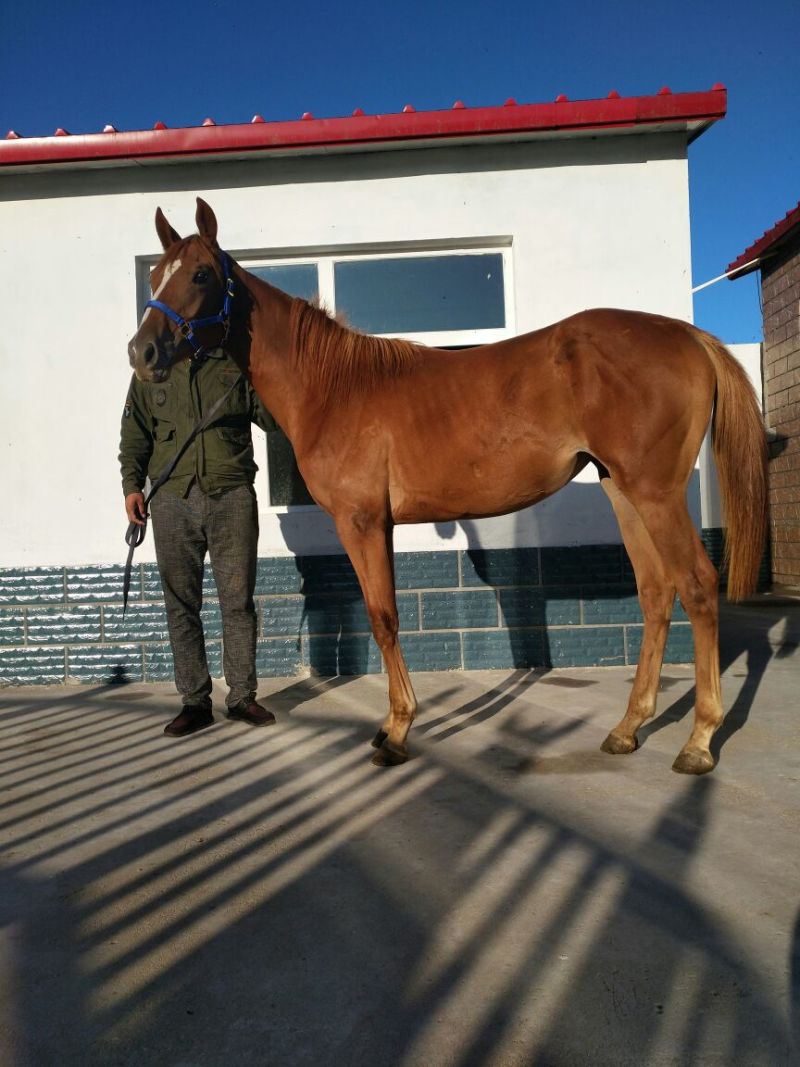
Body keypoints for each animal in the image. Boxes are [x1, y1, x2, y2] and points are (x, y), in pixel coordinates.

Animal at [128, 198, 768, 775]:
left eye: (202, 274)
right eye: (155, 277)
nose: (142, 351)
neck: (335, 387)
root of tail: (687, 335)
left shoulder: (362, 522)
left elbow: (383, 618)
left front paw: (395, 732)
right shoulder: (381, 524)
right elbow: (383, 616)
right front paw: (394, 725)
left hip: (655, 494)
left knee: (698, 586)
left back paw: (699, 742)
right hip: (623, 491)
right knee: (657, 593)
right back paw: (627, 729)